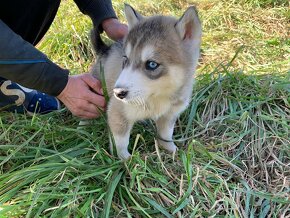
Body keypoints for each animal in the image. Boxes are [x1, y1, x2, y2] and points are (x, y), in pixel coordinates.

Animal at [90, 3, 202, 160]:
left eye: (152, 64)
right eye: (125, 59)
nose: (118, 93)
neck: (158, 96)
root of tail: (105, 49)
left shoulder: (170, 114)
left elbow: (166, 134)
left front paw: (170, 149)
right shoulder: (118, 112)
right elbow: (121, 142)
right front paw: (125, 159)